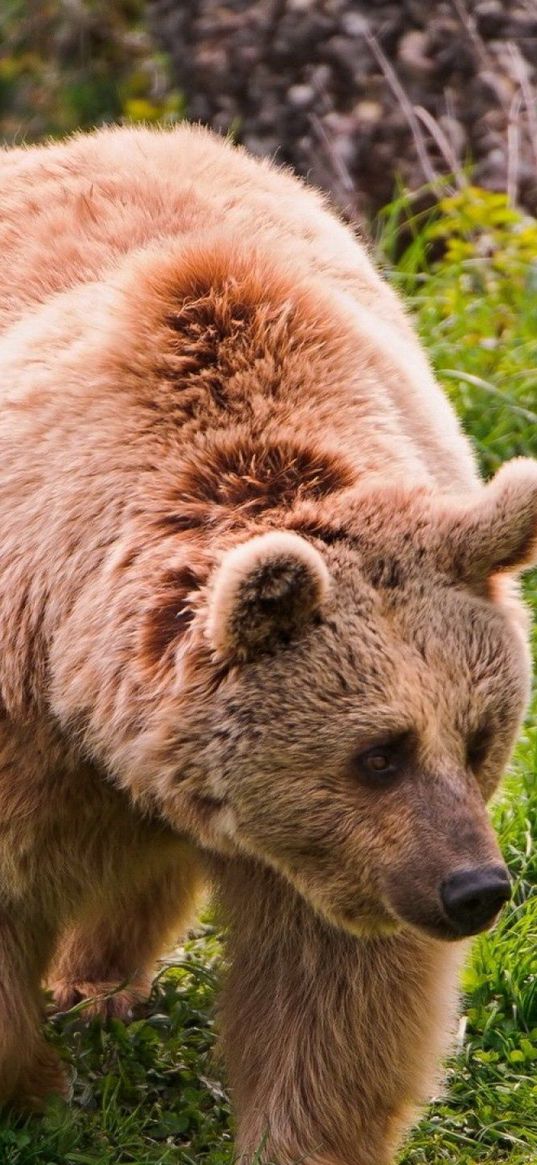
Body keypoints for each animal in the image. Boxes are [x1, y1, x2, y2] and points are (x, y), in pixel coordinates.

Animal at [0, 122, 533, 1160]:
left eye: (480, 736)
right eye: (378, 752)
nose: (474, 888)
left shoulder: (338, 857)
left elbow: (334, 992)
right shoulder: (25, 708)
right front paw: (36, 1088)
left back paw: (99, 982)